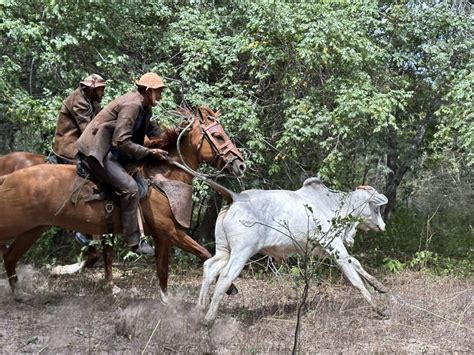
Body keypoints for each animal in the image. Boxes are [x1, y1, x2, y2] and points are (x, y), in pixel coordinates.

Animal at [0, 108, 244, 300]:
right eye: (217, 136)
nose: (240, 164)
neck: (164, 178)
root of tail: (8, 177)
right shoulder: (169, 232)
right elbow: (202, 253)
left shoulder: (160, 237)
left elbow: (163, 272)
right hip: (17, 225)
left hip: (33, 229)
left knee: (10, 257)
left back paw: (19, 292)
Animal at [198, 178, 390, 322]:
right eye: (376, 208)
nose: (383, 226)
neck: (334, 205)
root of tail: (236, 197)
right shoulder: (333, 245)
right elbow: (355, 279)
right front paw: (378, 308)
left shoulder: (327, 250)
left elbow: (356, 262)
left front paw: (380, 286)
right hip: (242, 251)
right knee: (225, 276)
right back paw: (209, 318)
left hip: (224, 250)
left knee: (209, 267)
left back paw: (200, 308)